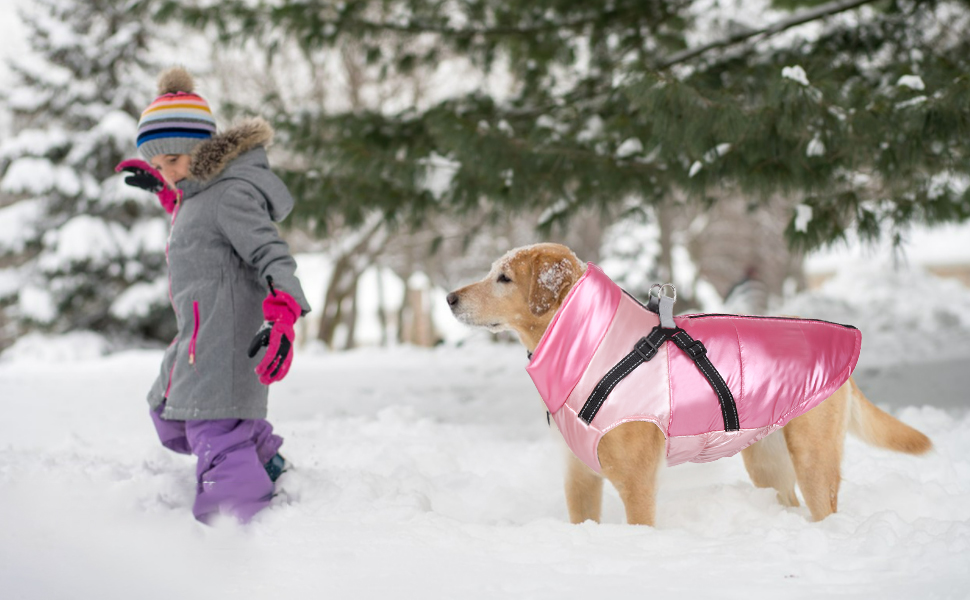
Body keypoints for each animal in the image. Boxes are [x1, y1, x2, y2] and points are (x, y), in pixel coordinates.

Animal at [446, 243, 932, 524]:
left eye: (504, 278)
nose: (448, 298)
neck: (593, 343)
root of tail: (844, 336)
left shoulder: (636, 484)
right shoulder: (579, 477)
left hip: (813, 457)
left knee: (825, 507)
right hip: (767, 461)